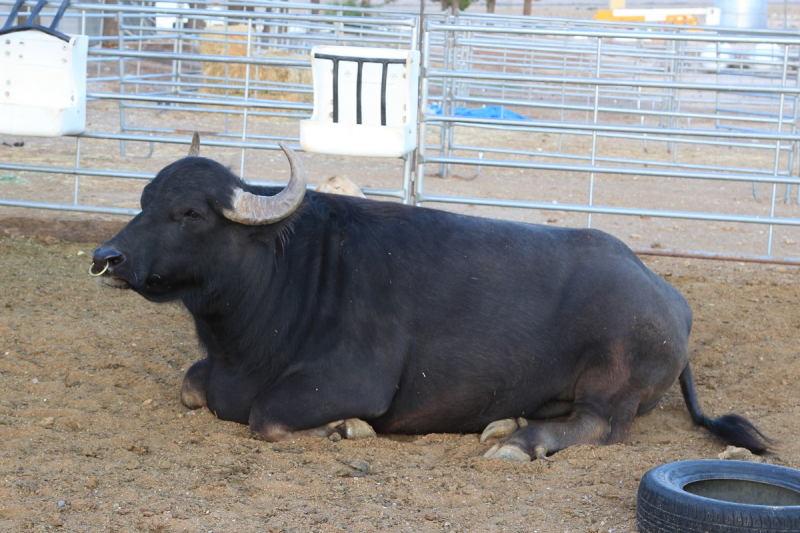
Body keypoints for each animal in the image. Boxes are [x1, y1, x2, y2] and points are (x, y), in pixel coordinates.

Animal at [92, 134, 768, 462]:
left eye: (190, 213)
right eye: (144, 200)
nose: (107, 257)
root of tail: (668, 298)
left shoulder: (350, 382)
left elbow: (266, 417)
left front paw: (345, 430)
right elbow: (189, 385)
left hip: (613, 381)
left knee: (600, 426)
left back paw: (520, 444)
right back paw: (507, 421)